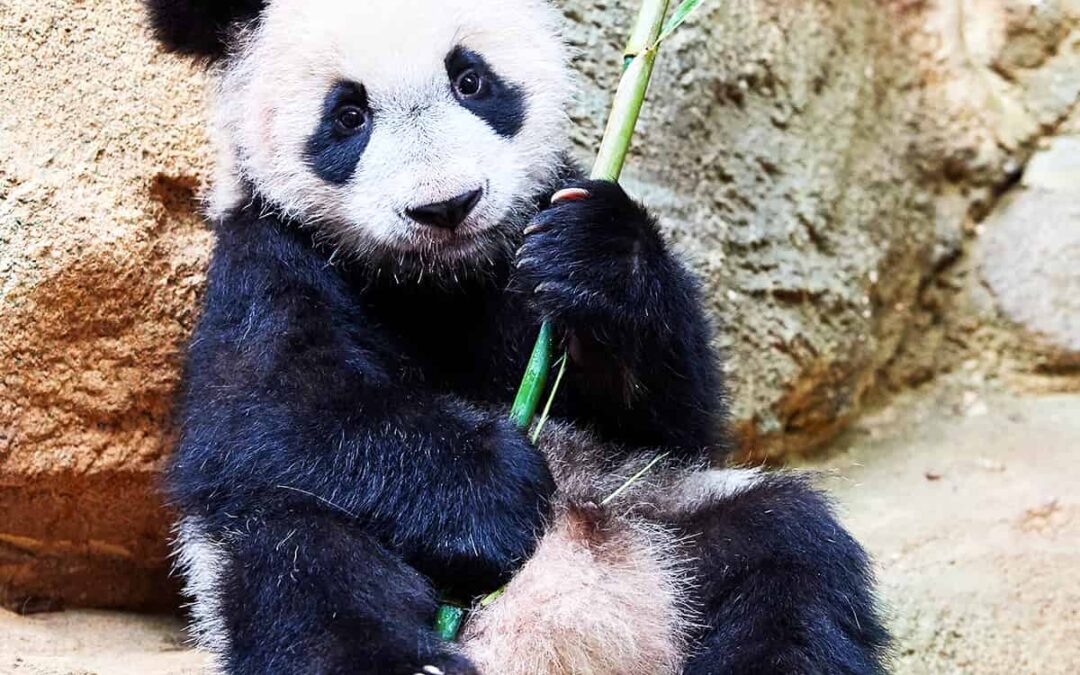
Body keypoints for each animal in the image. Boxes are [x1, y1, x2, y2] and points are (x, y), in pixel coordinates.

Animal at [146, 1, 889, 673]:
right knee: (302, 562)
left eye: (470, 79)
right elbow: (261, 414)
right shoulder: (269, 257)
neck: (439, 279)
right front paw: (491, 484)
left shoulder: (541, 222)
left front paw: (598, 258)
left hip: (660, 509)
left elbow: (677, 419)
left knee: (789, 552)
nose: (447, 206)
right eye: (348, 114)